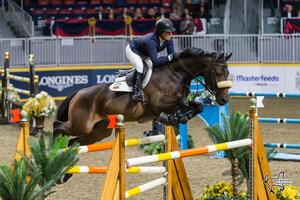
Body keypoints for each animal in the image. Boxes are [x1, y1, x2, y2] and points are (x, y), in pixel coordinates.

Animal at [53, 47, 232, 146]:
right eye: (217, 73)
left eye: (228, 73)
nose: (224, 100)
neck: (176, 75)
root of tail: (78, 93)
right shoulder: (158, 103)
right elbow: (182, 102)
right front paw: (172, 117)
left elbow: (197, 105)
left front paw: (178, 117)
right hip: (82, 124)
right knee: (57, 126)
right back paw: (53, 150)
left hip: (99, 131)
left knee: (75, 142)